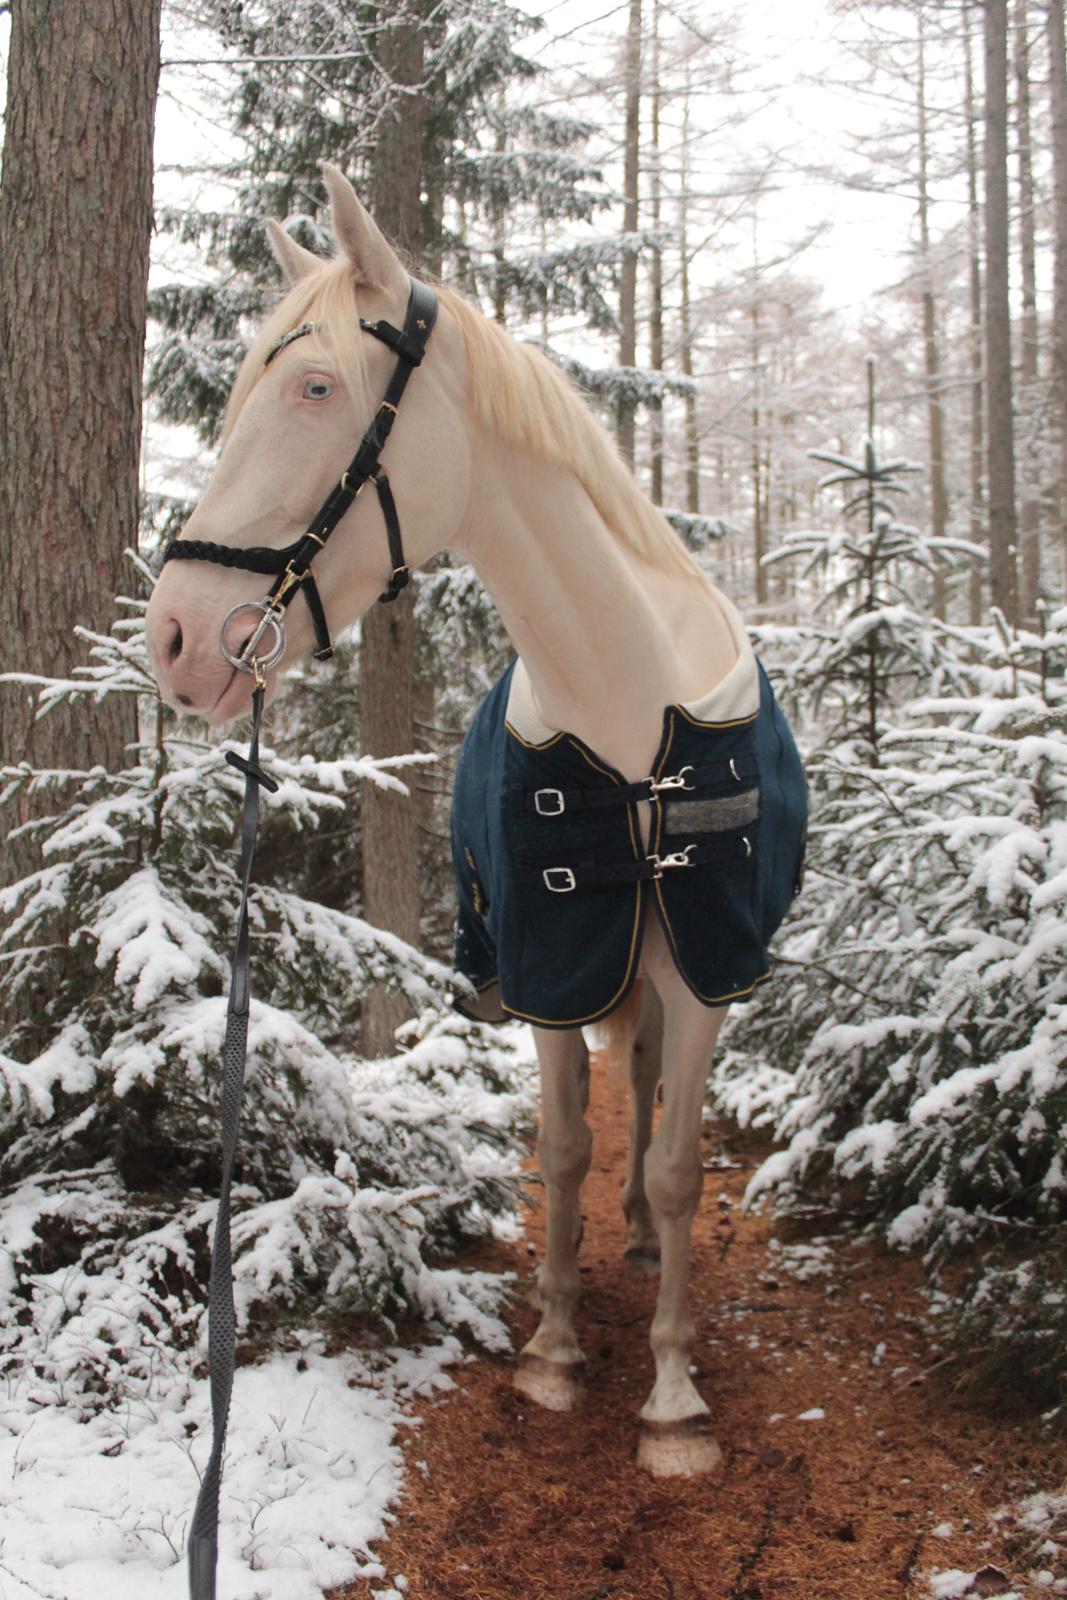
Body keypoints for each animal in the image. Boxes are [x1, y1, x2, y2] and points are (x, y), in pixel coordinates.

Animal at [143, 165, 809, 1484]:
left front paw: (671, 1397)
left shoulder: (708, 965)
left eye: (313, 386)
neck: (624, 706)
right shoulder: (552, 961)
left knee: (651, 1100)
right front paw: (553, 1347)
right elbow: (559, 1147)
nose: (177, 640)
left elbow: (673, 1163)